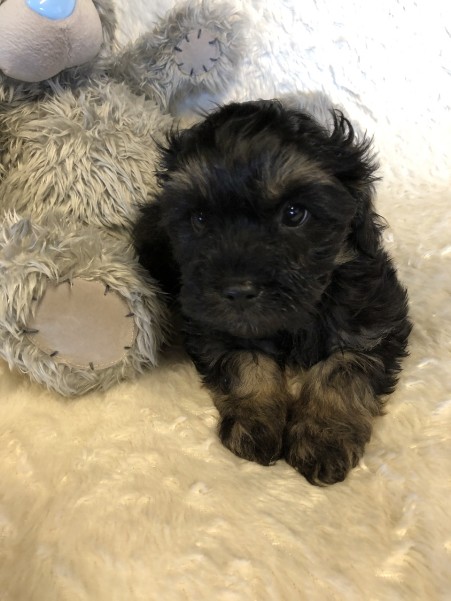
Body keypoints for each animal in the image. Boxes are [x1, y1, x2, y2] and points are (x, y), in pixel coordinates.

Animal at [134, 98, 414, 482]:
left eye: (294, 214)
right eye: (200, 219)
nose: (237, 290)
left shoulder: (376, 319)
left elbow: (343, 369)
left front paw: (323, 435)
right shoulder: (216, 325)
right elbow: (245, 362)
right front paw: (256, 421)